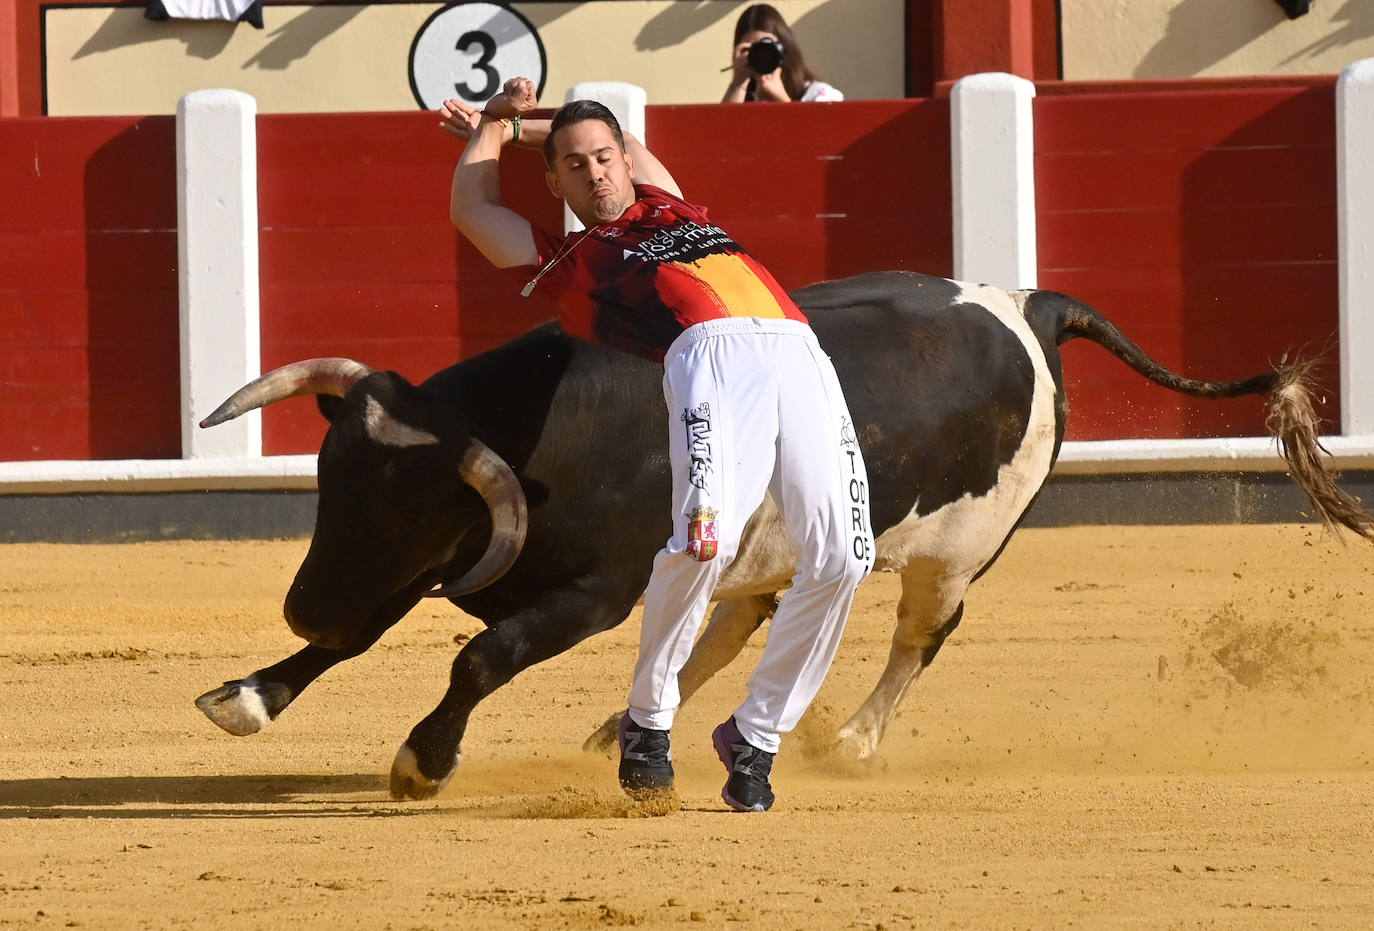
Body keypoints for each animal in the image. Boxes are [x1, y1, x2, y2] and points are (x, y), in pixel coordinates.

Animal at [196, 270, 1374, 801]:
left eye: (411, 501)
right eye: (330, 478)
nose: (299, 600)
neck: (556, 424)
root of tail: (1031, 305)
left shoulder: (588, 592)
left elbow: (481, 654)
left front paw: (420, 761)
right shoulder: (425, 567)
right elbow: (361, 636)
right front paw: (246, 695)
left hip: (958, 550)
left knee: (916, 636)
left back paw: (846, 741)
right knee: (740, 622)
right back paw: (623, 730)